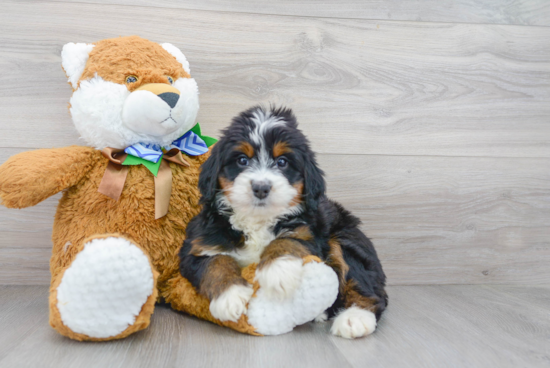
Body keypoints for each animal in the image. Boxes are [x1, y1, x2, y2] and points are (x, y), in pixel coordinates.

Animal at [181, 105, 388, 338]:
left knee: (365, 287)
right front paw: (230, 296)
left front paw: (277, 271)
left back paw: (355, 318)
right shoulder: (198, 245)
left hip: (345, 239)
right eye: (242, 160)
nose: (261, 187)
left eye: (282, 162)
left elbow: (287, 240)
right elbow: (215, 262)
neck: (257, 220)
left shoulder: (308, 233)